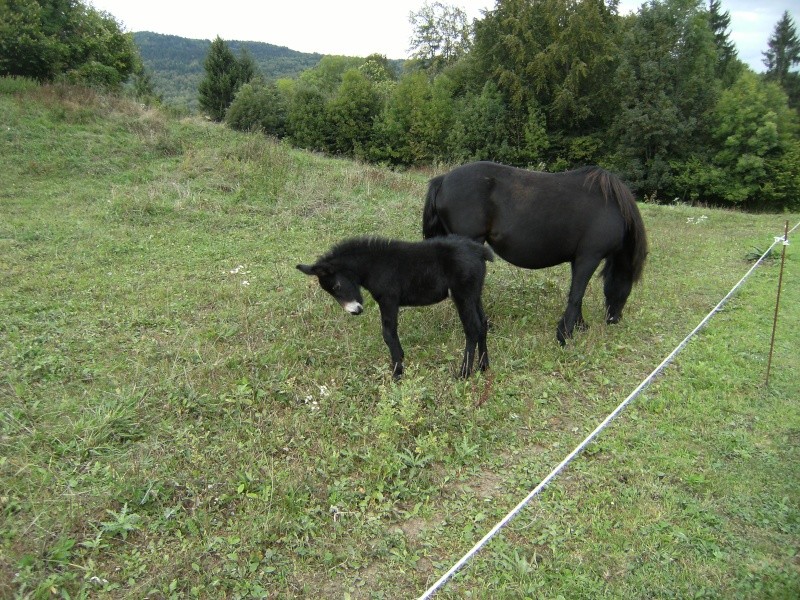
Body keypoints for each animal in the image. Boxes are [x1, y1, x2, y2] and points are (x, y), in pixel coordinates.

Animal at [422, 162, 648, 344]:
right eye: (628, 283)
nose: (614, 319)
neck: (611, 206)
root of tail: (443, 180)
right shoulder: (589, 257)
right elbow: (577, 294)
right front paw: (565, 335)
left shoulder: (578, 260)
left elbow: (576, 293)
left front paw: (579, 326)